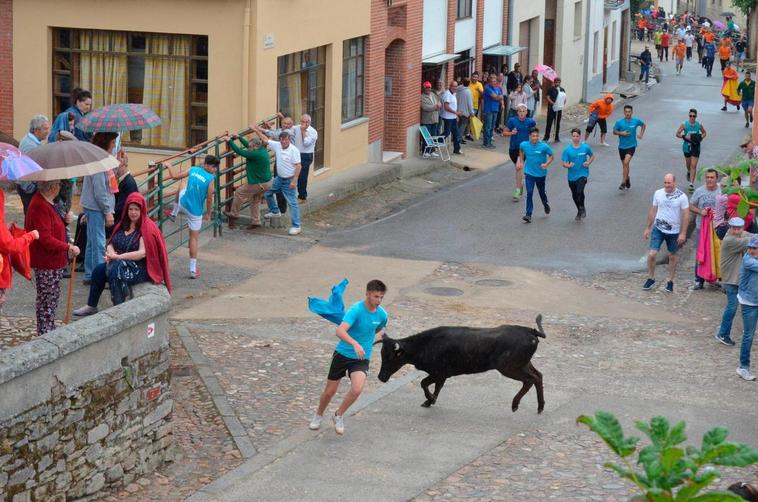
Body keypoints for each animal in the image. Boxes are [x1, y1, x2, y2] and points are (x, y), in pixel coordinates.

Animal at [376, 316, 548, 414]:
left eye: (390, 357)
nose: (381, 377)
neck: (425, 345)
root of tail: (530, 331)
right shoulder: (442, 375)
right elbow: (437, 387)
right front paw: (430, 401)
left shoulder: (439, 372)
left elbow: (424, 383)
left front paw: (430, 399)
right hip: (523, 364)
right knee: (538, 376)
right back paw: (540, 406)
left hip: (509, 367)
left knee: (530, 380)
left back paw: (515, 404)